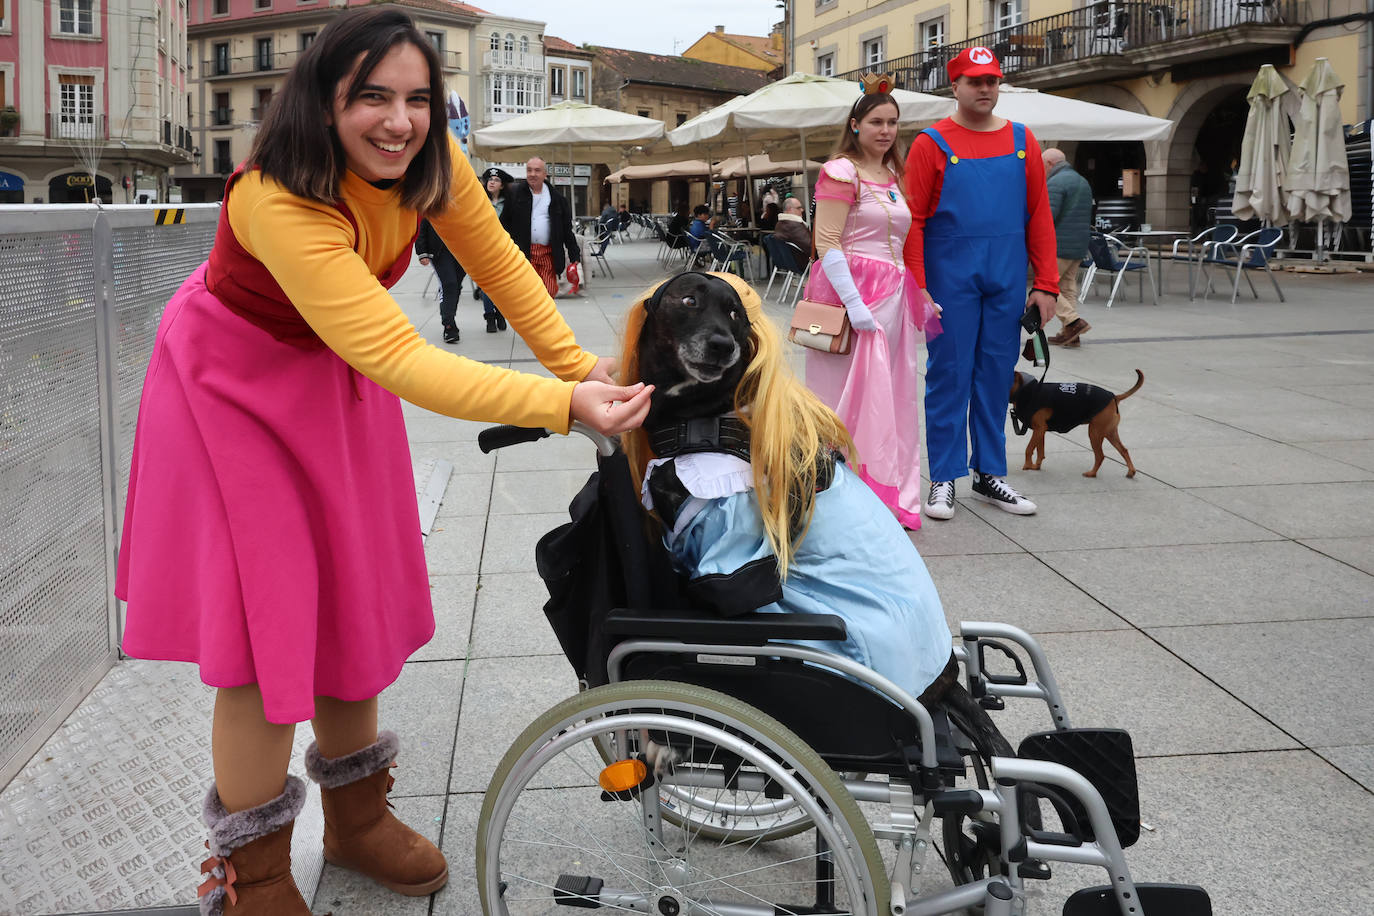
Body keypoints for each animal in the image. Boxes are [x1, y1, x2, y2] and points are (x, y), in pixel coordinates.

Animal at [1011, 370, 1148, 480]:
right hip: (1110, 432)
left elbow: (1029, 449)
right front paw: (1036, 466)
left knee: (1100, 456)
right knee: (1124, 450)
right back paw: (1131, 471)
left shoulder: (1039, 429)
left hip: (1094, 433)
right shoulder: (1040, 431)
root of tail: (1113, 396)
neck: (1028, 391)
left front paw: (1027, 466)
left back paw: (1092, 473)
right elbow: (1040, 451)